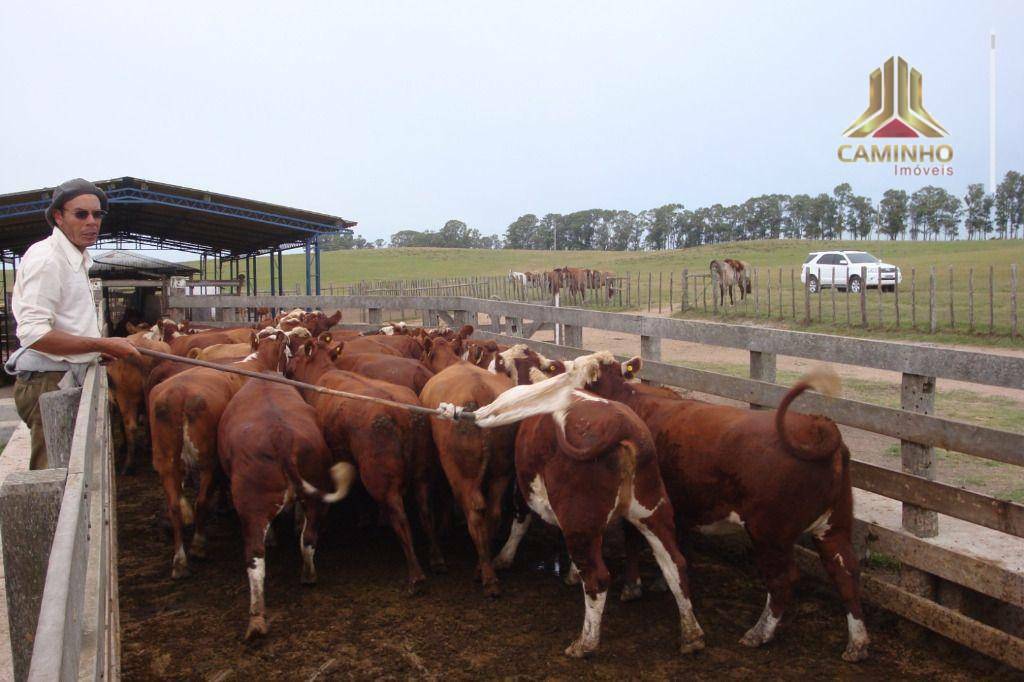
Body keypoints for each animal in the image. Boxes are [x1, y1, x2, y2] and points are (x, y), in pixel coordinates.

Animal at [146, 327, 288, 577]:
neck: (258, 362)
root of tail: (177, 393)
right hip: (206, 460)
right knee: (201, 502)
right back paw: (198, 546)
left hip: (165, 460)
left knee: (175, 507)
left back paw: (180, 561)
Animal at [219, 372, 356, 638]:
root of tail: (280, 436)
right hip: (315, 491)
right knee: (309, 538)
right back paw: (308, 575)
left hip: (252, 504)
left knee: (255, 556)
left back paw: (256, 619)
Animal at [288, 342, 448, 585]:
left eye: (296, 357)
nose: (286, 368)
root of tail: (400, 411)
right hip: (422, 472)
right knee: (425, 511)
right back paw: (436, 558)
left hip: (379, 477)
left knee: (400, 517)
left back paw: (416, 574)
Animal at [468, 350, 704, 655]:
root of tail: (621, 426)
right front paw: (570, 572)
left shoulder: (524, 486)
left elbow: (520, 521)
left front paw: (504, 558)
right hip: (652, 511)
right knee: (675, 565)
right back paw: (691, 635)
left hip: (580, 516)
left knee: (598, 579)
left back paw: (585, 644)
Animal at [585, 356, 864, 659]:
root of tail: (816, 425)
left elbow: (633, 542)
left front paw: (632, 586)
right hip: (834, 526)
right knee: (846, 573)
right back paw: (858, 643)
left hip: (769, 533)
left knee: (783, 580)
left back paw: (759, 633)